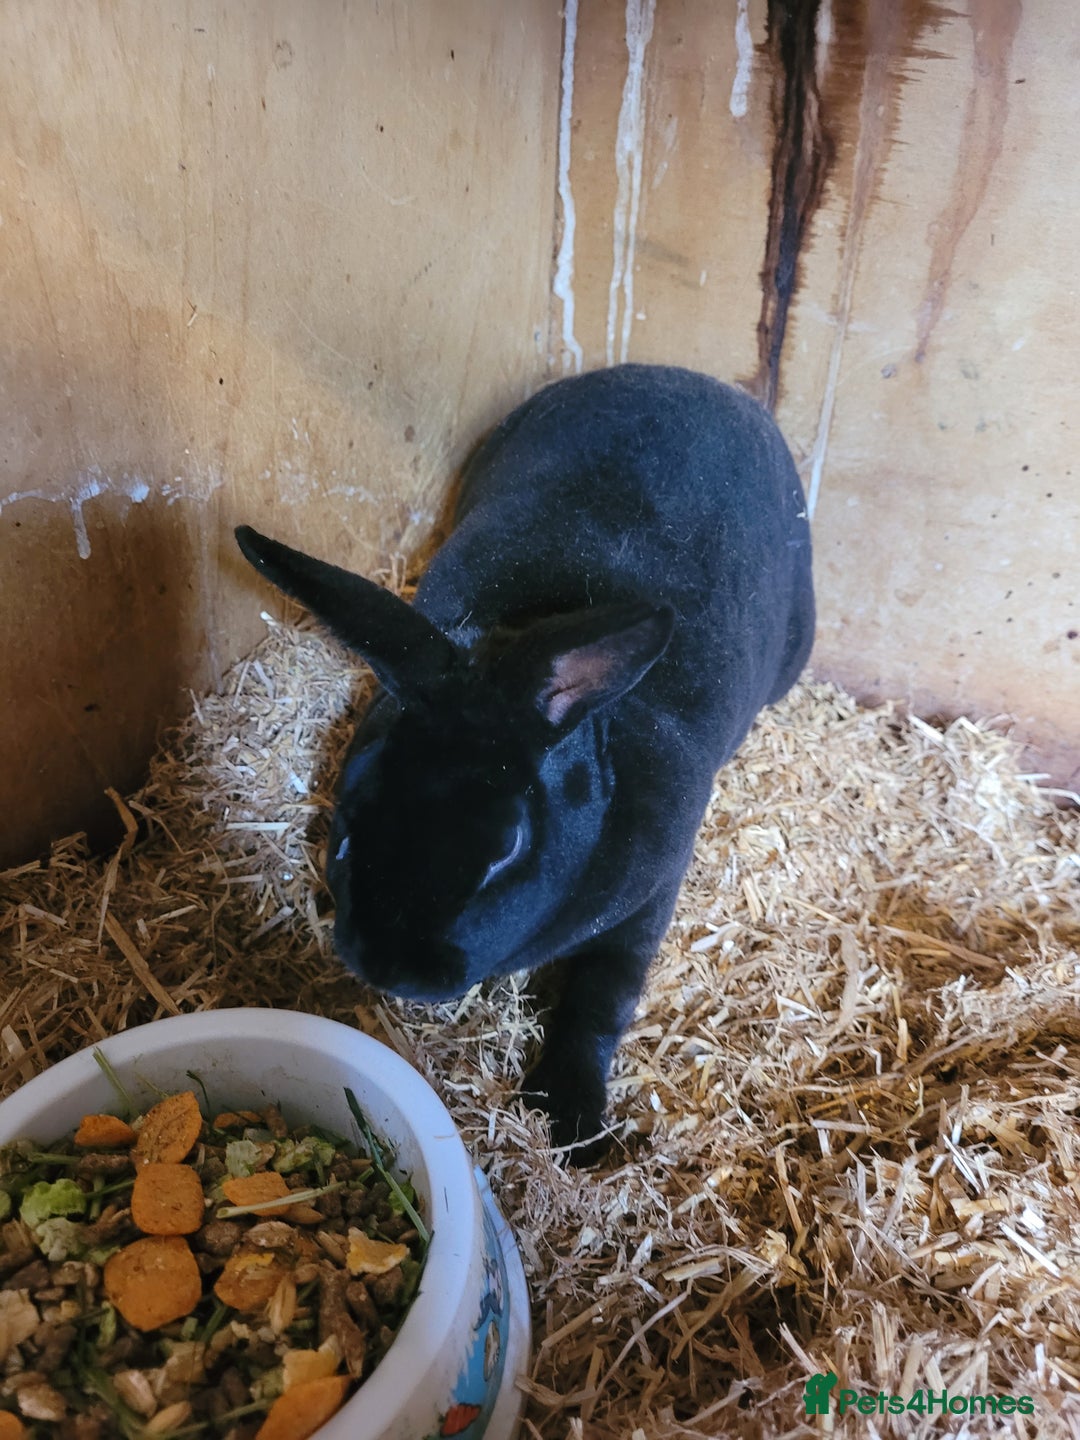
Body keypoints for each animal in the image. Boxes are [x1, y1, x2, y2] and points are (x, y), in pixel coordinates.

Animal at [235, 363, 814, 1161]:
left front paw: (569, 1121)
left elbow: (600, 997)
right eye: (347, 825)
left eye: (507, 848)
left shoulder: (650, 900)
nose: (388, 965)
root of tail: (692, 379)